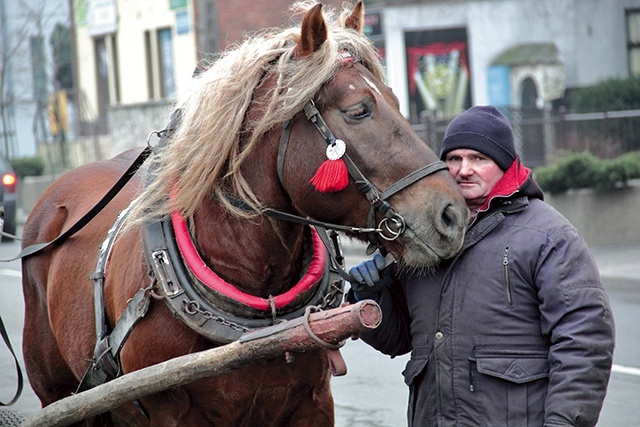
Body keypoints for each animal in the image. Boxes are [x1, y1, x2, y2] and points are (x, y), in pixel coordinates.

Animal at [22, 1, 468, 426]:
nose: (452, 214)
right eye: (359, 110)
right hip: (58, 392)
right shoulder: (172, 413)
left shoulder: (312, 404)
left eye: (397, 101)